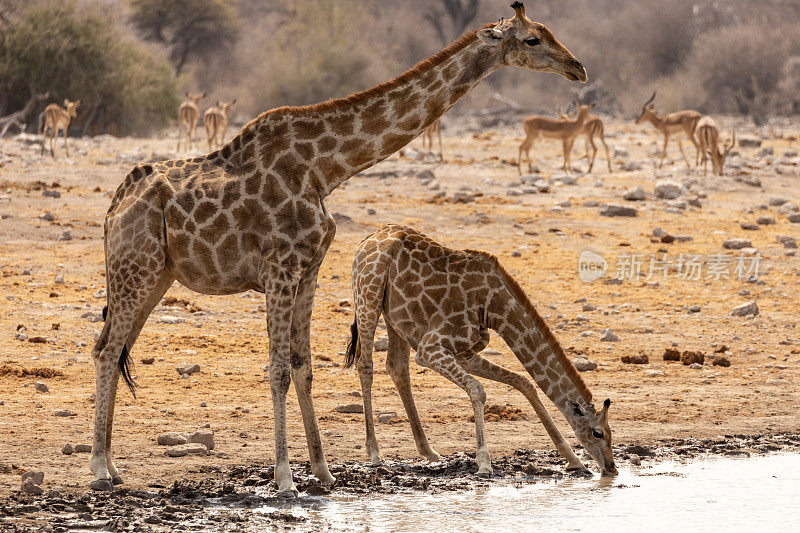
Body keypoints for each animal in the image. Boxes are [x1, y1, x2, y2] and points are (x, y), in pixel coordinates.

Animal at [89, 1, 588, 494]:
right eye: (533, 39)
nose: (578, 67)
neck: (324, 169)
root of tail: (116, 203)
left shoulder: (308, 268)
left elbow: (303, 365)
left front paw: (322, 471)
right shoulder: (279, 268)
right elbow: (277, 369)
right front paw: (285, 478)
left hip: (156, 276)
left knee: (111, 348)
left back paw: (113, 466)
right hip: (136, 268)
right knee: (108, 350)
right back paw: (98, 469)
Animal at [346, 224, 616, 474]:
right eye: (598, 433)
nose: (611, 468)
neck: (492, 308)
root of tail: (367, 239)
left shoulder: (463, 352)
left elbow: (524, 383)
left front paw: (573, 459)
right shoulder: (430, 348)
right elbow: (478, 390)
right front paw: (484, 462)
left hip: (394, 317)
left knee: (397, 367)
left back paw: (429, 451)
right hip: (367, 297)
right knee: (366, 365)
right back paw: (374, 452)